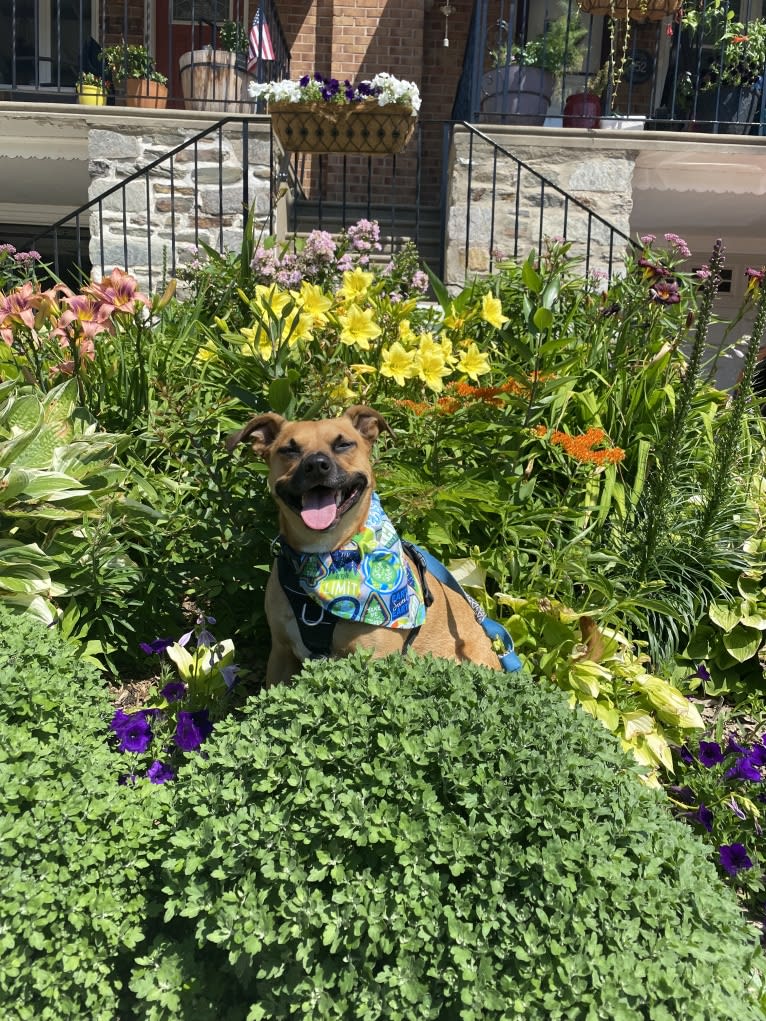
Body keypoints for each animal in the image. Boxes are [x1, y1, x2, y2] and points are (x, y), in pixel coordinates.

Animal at [227, 402, 504, 682]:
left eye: (343, 444)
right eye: (289, 449)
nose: (316, 464)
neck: (327, 556)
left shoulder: (376, 660)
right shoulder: (281, 655)